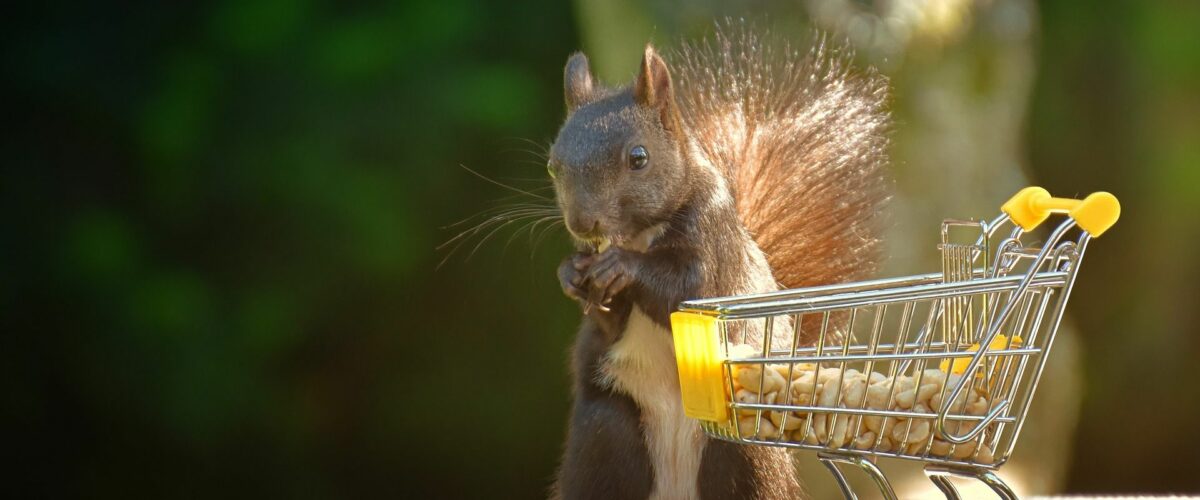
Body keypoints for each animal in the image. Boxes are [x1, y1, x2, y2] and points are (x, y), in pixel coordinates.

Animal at [549, 24, 888, 498]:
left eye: (639, 157)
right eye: (552, 166)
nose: (582, 223)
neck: (638, 236)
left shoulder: (716, 246)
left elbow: (688, 289)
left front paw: (621, 267)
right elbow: (608, 322)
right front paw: (570, 273)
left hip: (743, 456)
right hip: (605, 434)